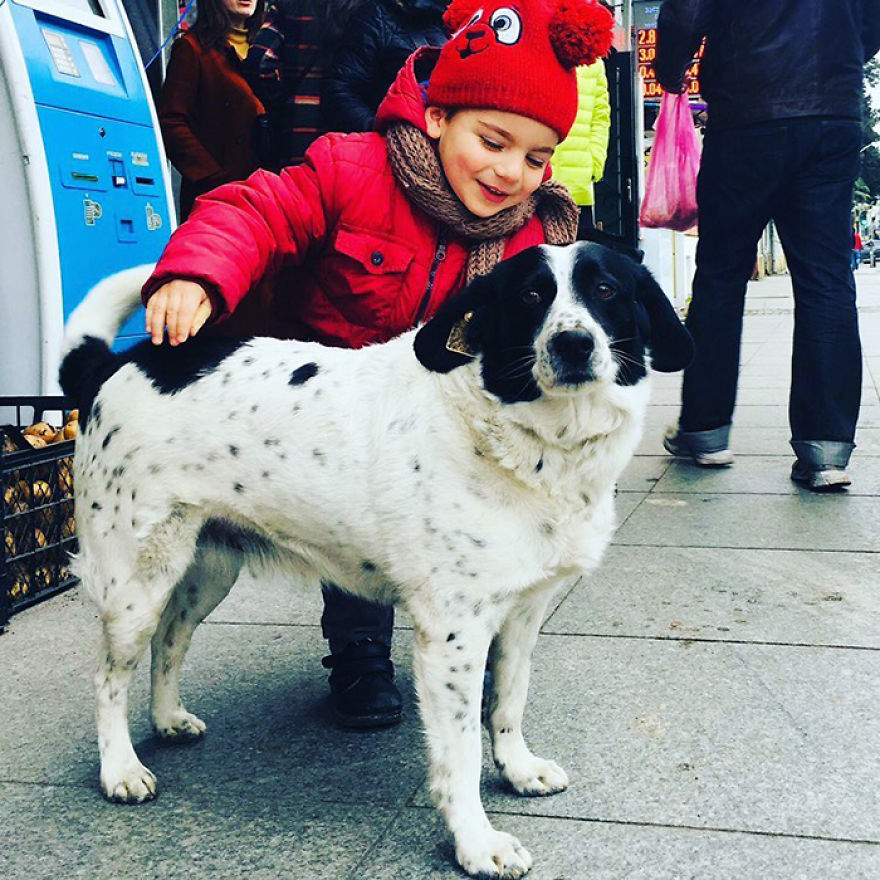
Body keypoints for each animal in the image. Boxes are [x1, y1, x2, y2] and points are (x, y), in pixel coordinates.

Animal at [60, 242, 696, 880]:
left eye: (607, 290)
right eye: (530, 296)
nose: (573, 344)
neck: (525, 439)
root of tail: (113, 364)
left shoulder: (522, 614)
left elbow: (508, 702)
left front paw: (517, 769)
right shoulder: (453, 635)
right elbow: (460, 753)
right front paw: (475, 843)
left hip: (206, 568)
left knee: (170, 639)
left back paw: (168, 719)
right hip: (134, 578)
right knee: (108, 676)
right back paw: (119, 768)